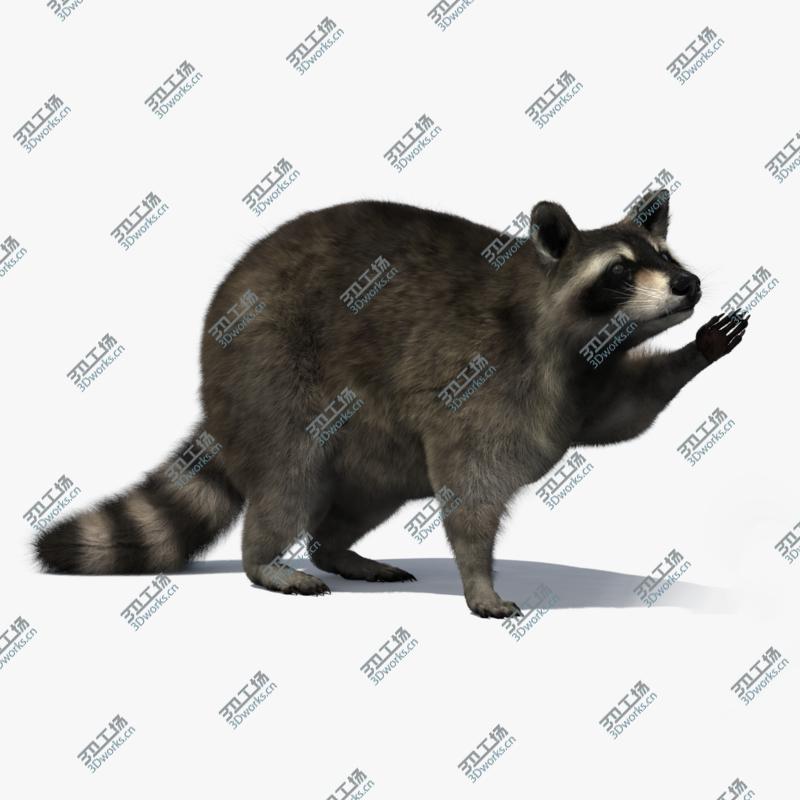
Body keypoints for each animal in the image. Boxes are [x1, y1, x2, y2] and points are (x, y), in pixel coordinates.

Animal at [34, 191, 748, 617]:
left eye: (666, 255)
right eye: (621, 271)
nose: (688, 285)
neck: (575, 340)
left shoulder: (583, 382)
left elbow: (625, 412)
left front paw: (697, 351)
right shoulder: (484, 380)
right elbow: (470, 488)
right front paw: (479, 580)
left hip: (373, 444)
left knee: (361, 499)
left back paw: (335, 549)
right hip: (270, 373)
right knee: (288, 478)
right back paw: (267, 560)